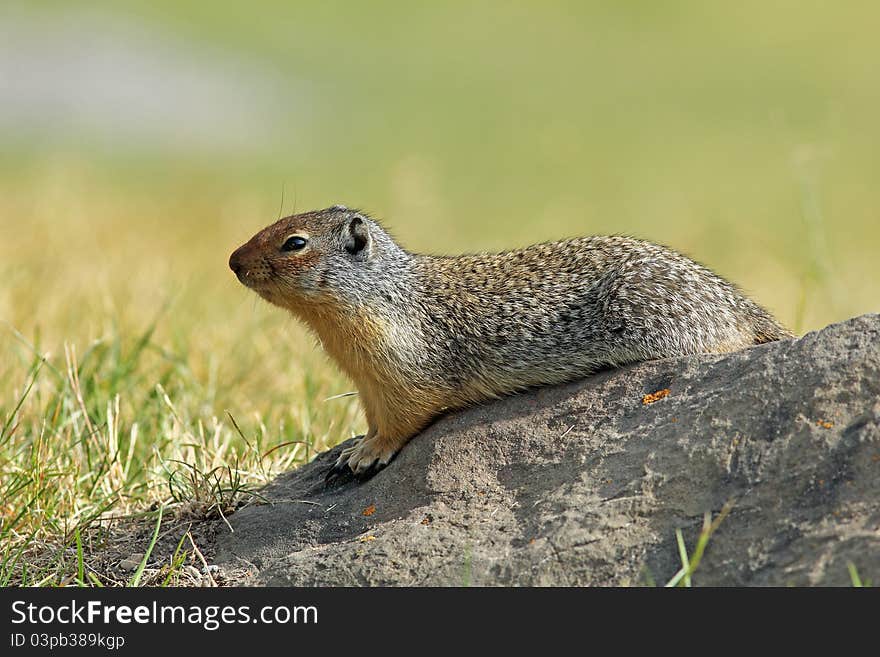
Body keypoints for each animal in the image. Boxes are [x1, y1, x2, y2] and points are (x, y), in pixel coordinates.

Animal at [230, 205, 796, 476]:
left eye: (294, 242)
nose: (233, 261)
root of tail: (734, 300)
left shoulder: (402, 368)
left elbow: (402, 419)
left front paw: (368, 454)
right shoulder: (368, 382)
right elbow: (373, 415)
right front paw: (351, 447)